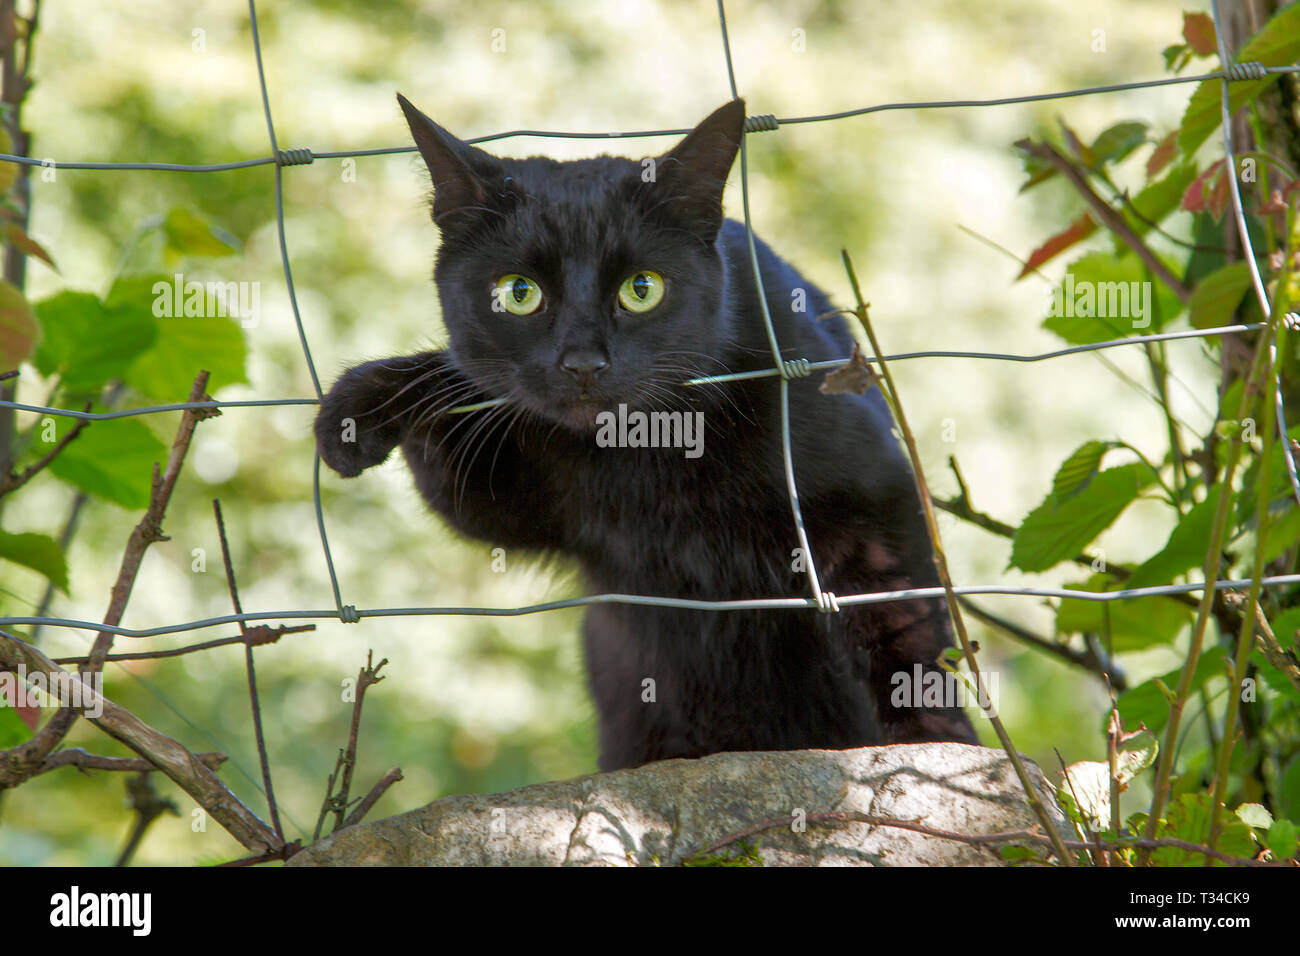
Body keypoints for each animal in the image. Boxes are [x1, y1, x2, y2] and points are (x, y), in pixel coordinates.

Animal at [314, 97, 977, 770]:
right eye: (519, 294)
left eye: (642, 289)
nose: (583, 363)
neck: (644, 453)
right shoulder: (520, 505)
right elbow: (454, 390)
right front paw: (358, 411)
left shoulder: (874, 503)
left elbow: (902, 630)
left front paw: (933, 748)